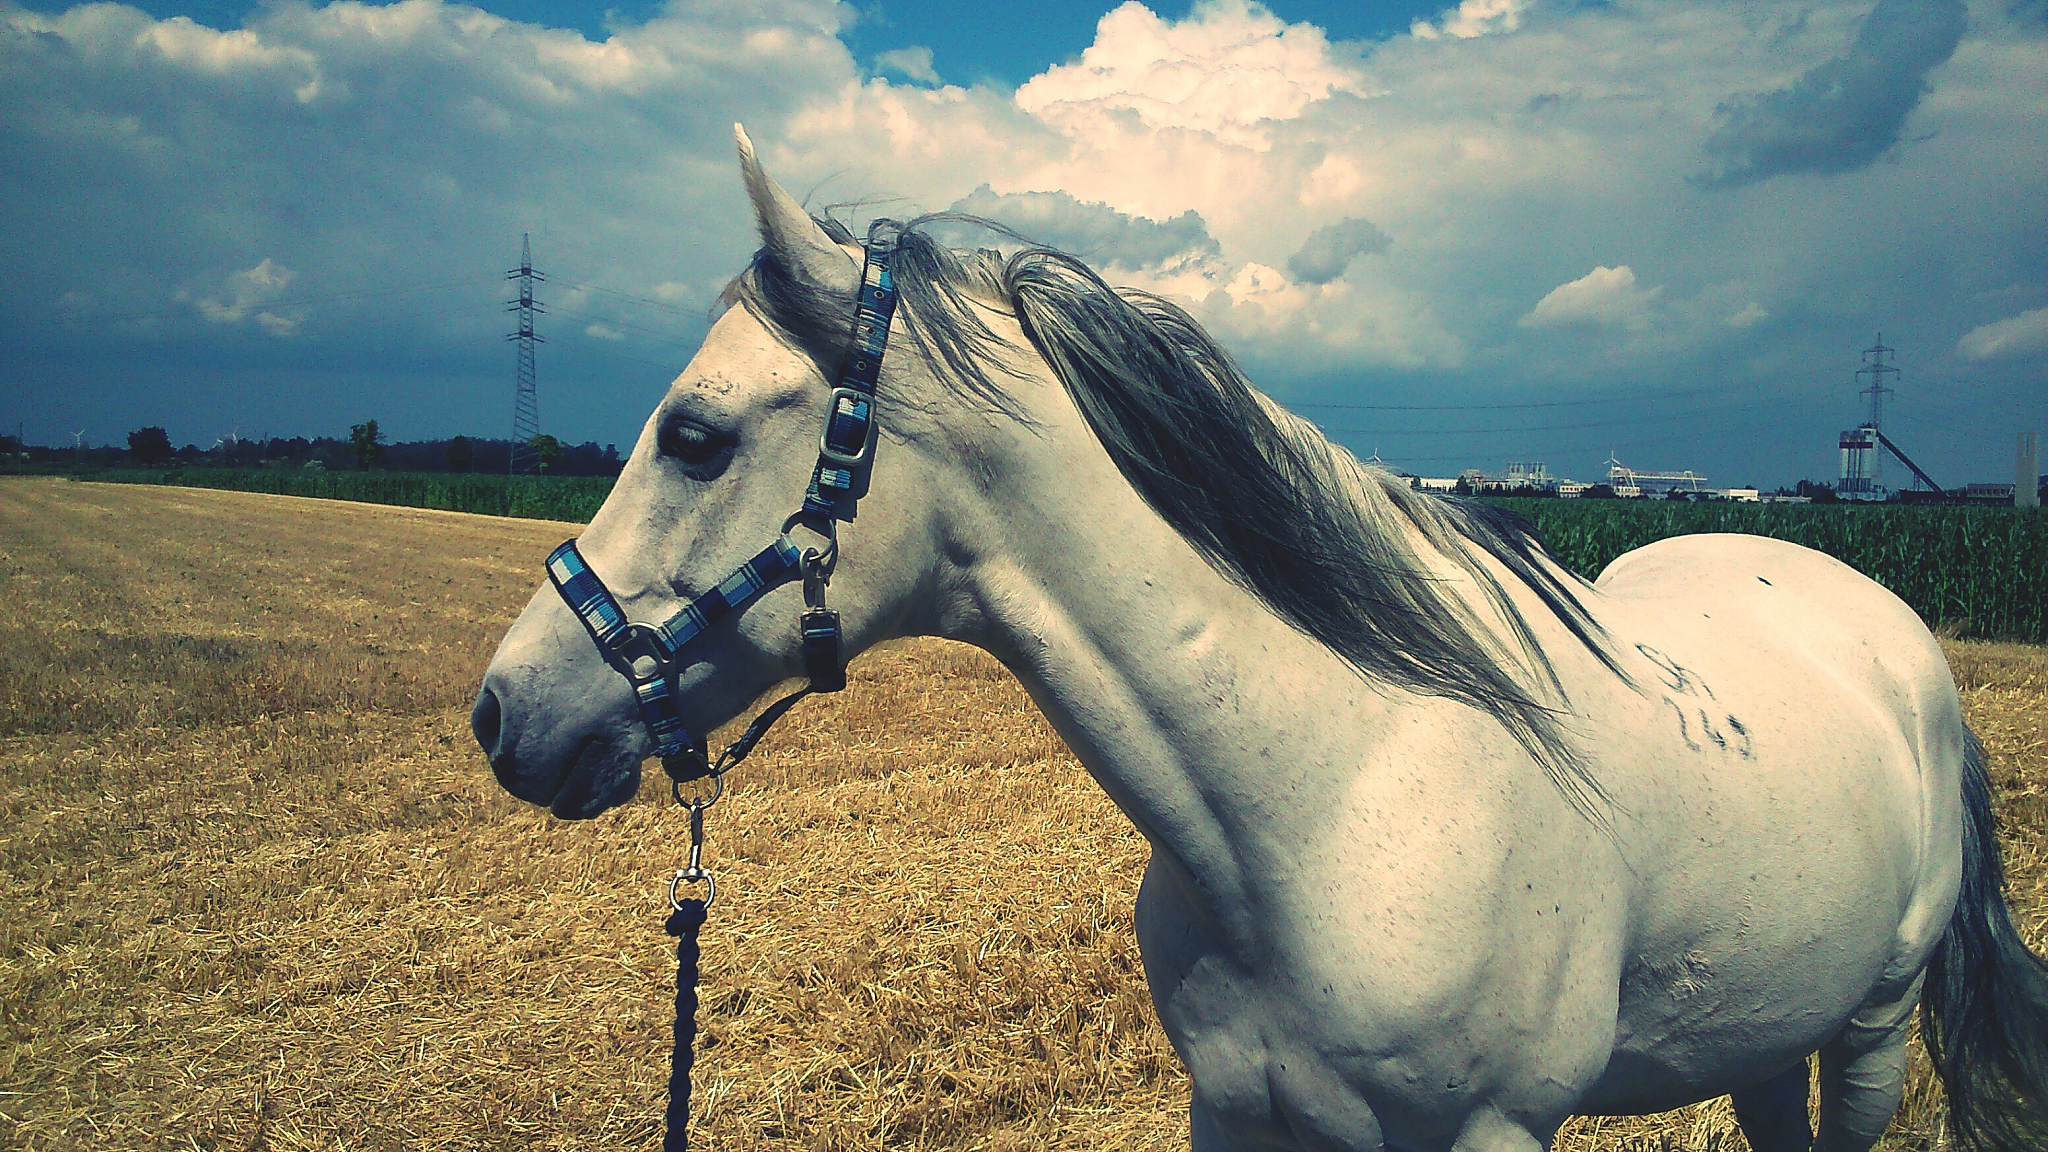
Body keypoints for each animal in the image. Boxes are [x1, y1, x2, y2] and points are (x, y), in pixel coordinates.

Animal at [470, 126, 2048, 1152]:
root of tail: (1897, 642)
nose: (503, 714)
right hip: (1773, 1033)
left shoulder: (1490, 1132)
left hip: (1867, 1033)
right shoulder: (1234, 1108)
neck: (1333, 793)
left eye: (695, 433)